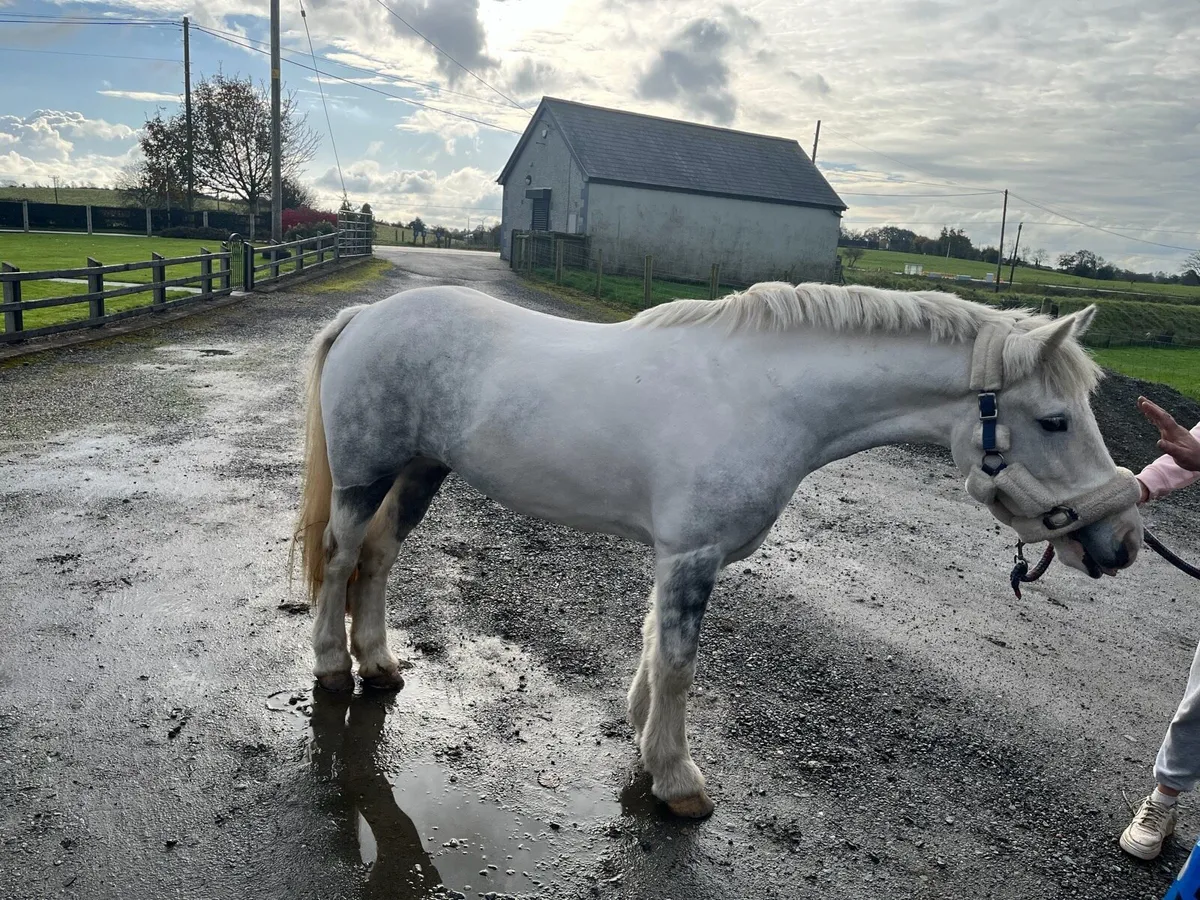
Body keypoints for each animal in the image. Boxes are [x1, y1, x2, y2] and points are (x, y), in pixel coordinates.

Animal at [293, 282, 1143, 818]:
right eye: (1057, 420)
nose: (1126, 542)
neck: (766, 397)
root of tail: (365, 316)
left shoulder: (679, 556)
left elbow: (652, 645)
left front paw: (644, 737)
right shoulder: (692, 556)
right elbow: (678, 661)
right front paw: (676, 780)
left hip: (420, 473)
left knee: (379, 559)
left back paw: (379, 663)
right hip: (366, 476)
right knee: (339, 557)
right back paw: (334, 667)